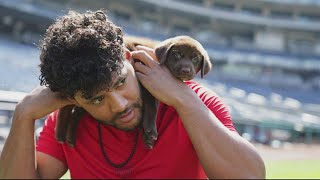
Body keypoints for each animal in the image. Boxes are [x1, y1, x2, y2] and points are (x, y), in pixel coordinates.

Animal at [55, 35, 212, 149]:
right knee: (66, 108)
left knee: (75, 111)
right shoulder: (146, 82)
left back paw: (69, 136)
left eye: (195, 58)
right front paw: (150, 131)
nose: (185, 70)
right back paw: (60, 132)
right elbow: (152, 106)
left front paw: (148, 135)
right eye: (177, 54)